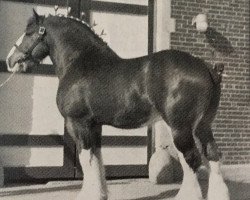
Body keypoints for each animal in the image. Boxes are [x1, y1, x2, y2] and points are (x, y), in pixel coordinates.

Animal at [5, 10, 229, 200]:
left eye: (29, 32)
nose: (10, 60)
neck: (80, 62)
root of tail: (207, 68)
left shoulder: (78, 124)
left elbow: (86, 159)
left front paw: (88, 194)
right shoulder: (94, 125)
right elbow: (97, 158)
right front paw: (100, 193)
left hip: (180, 128)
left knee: (192, 159)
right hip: (202, 126)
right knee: (212, 156)